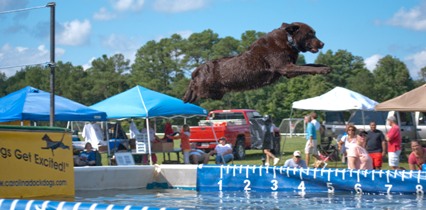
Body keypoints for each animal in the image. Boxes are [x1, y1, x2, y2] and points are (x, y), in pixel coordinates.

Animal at [181, 21, 332, 103]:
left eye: (314, 33)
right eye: (310, 34)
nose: (322, 43)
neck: (288, 40)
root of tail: (197, 69)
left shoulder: (290, 68)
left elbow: (310, 65)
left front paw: (323, 66)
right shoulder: (286, 68)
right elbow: (307, 68)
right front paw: (323, 70)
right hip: (204, 88)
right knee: (194, 87)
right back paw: (187, 95)